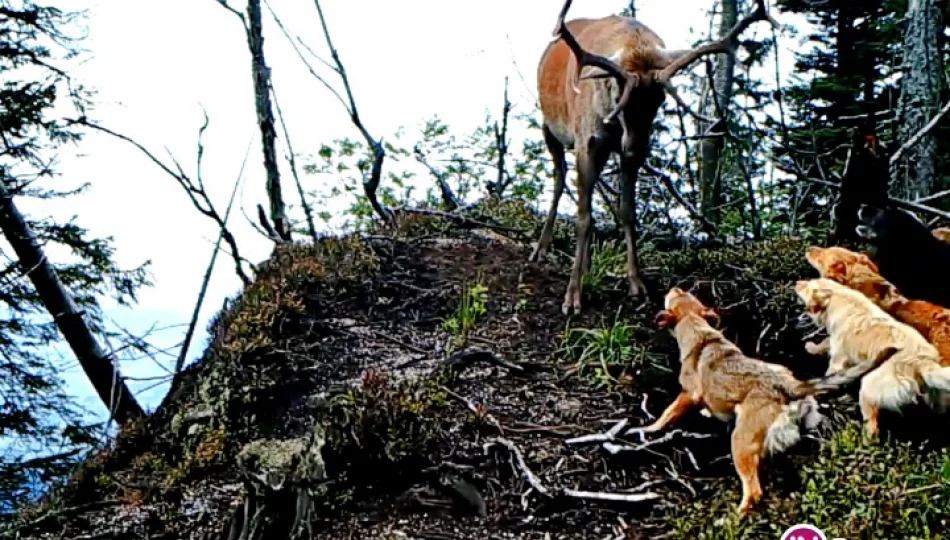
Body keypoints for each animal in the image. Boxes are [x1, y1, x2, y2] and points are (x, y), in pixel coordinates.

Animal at [536, 0, 772, 316]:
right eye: (620, 97)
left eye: (660, 100)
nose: (635, 147)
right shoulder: (587, 140)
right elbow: (583, 217)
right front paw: (572, 297)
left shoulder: (620, 151)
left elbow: (627, 212)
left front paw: (637, 285)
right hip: (551, 127)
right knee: (559, 178)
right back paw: (541, 249)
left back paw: (584, 264)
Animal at [644, 286, 896, 516]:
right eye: (686, 294)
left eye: (676, 296)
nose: (675, 287)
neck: (700, 333)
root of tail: (790, 386)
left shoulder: (687, 394)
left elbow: (667, 414)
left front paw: (651, 429)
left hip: (740, 442)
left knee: (754, 491)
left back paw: (735, 518)